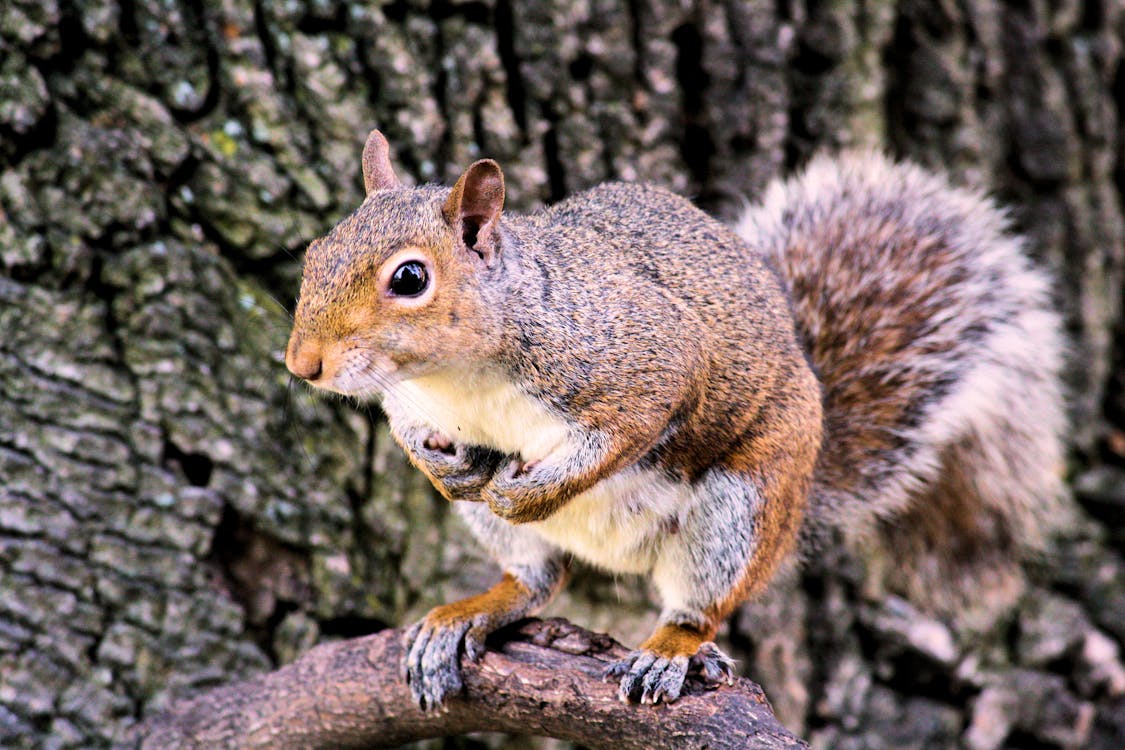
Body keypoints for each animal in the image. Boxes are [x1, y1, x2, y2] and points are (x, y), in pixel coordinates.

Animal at [285, 132, 1066, 715]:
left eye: (410, 279)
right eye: (314, 252)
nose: (301, 364)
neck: (458, 380)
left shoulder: (646, 362)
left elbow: (627, 429)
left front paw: (528, 491)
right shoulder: (412, 401)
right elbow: (407, 430)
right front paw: (439, 466)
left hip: (741, 508)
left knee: (699, 608)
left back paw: (667, 650)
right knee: (536, 580)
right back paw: (469, 612)